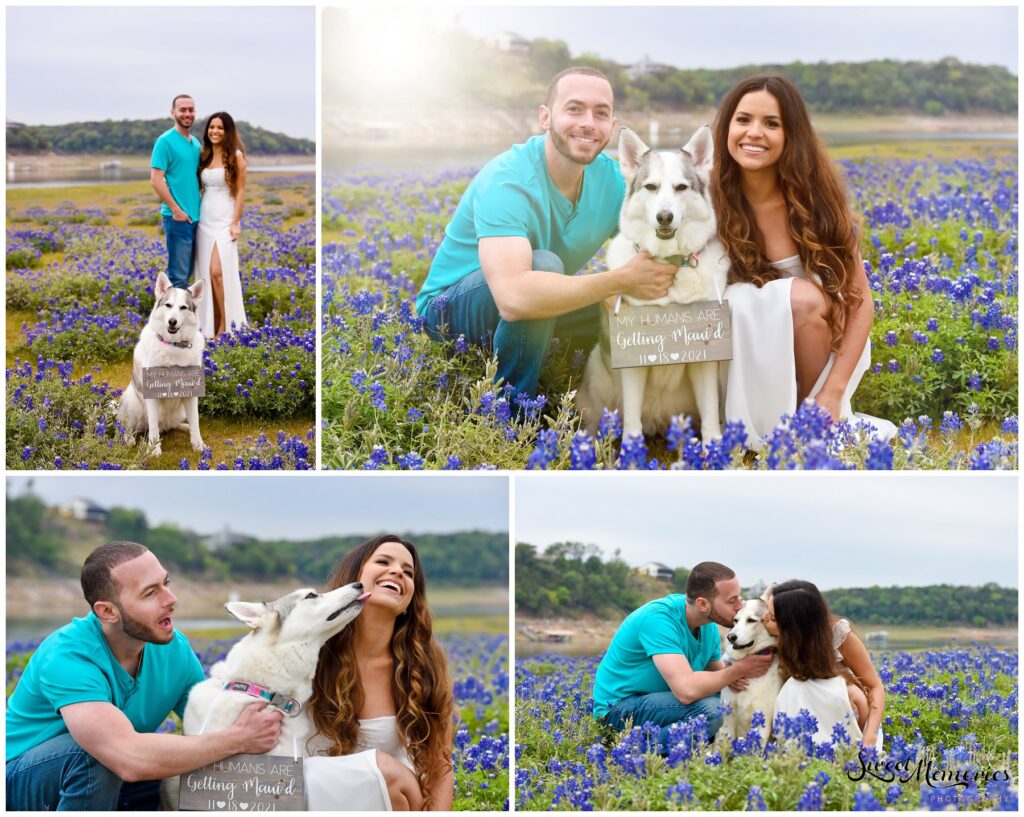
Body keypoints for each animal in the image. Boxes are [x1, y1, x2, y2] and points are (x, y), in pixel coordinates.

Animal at [117, 274, 204, 454]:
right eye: (168, 305)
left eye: (183, 307)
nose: (172, 321)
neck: (173, 345)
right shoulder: (152, 393)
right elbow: (154, 428)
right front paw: (154, 450)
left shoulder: (191, 392)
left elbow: (195, 422)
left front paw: (198, 445)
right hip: (132, 403)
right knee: (130, 427)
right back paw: (129, 439)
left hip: (179, 411)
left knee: (170, 424)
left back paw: (183, 426)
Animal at [581, 126, 733, 444]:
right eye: (650, 187)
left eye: (681, 187)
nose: (665, 216)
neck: (669, 262)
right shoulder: (631, 360)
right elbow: (632, 422)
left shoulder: (705, 357)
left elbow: (710, 414)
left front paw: (713, 447)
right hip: (597, 375)